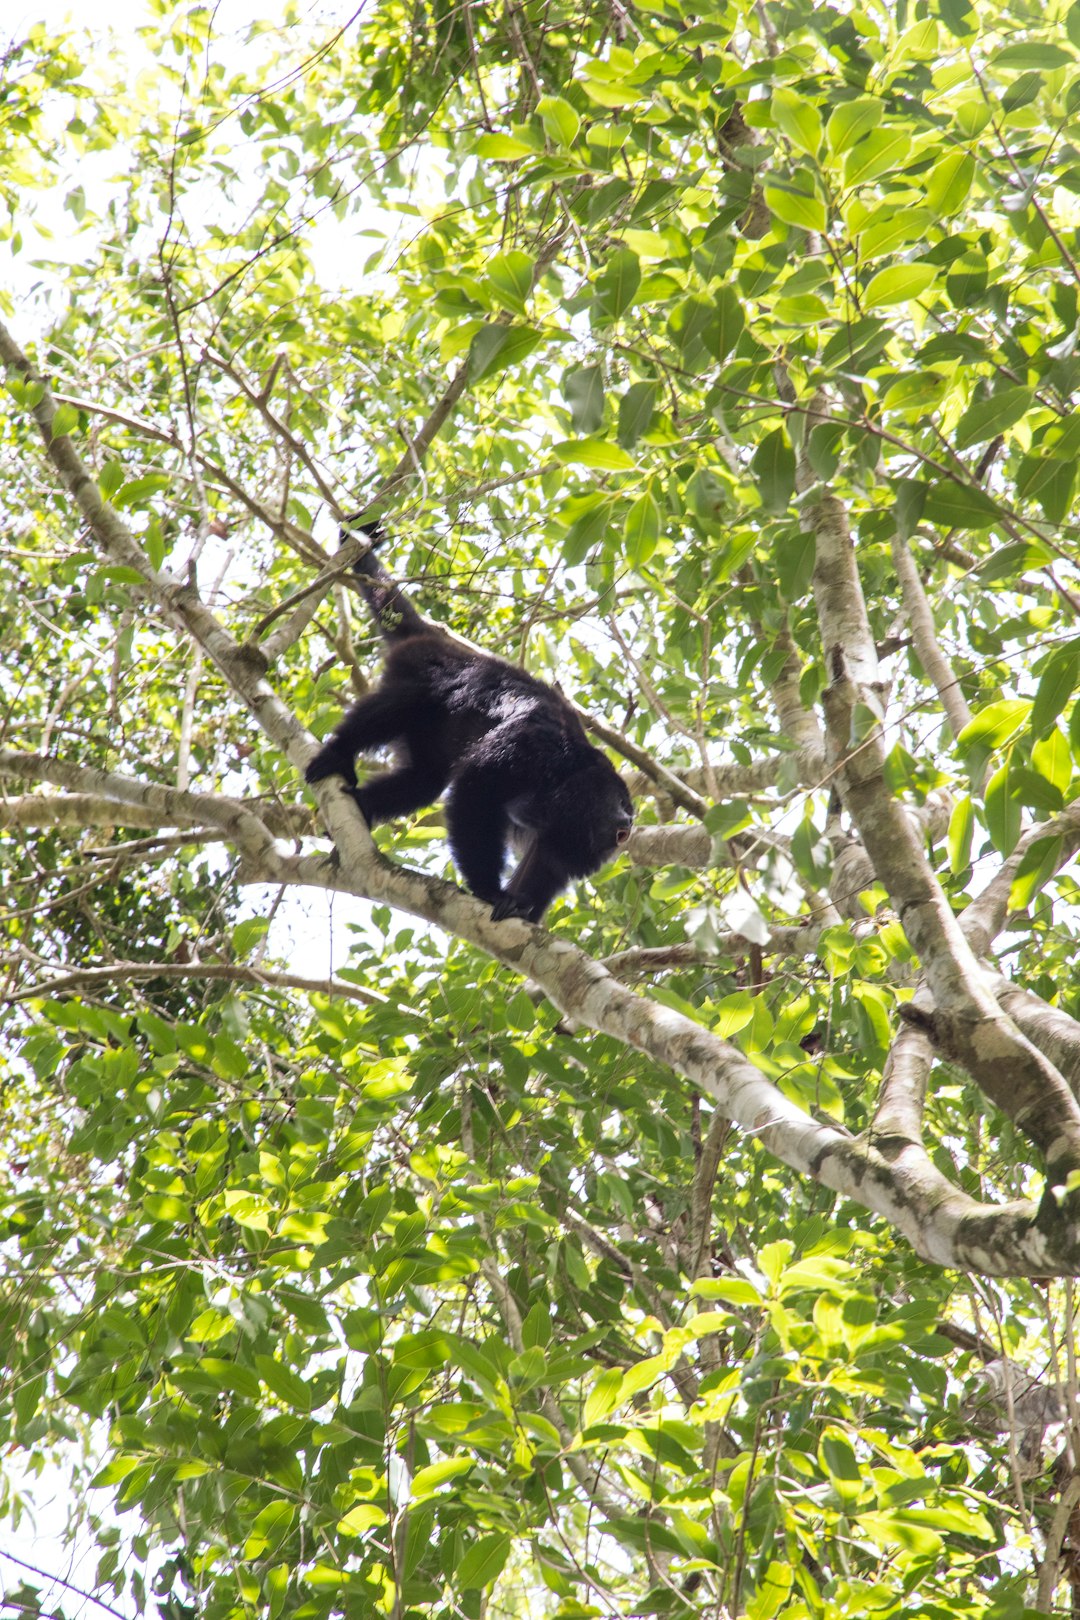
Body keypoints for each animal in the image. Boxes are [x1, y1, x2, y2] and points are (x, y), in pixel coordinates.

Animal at [304, 521, 634, 926]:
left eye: (630, 807)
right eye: (621, 801)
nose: (629, 821)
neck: (573, 773)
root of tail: (436, 641)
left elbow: (551, 860)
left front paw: (522, 908)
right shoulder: (537, 743)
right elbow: (478, 788)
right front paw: (490, 891)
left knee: (424, 780)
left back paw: (363, 806)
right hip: (419, 667)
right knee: (401, 705)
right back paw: (338, 754)